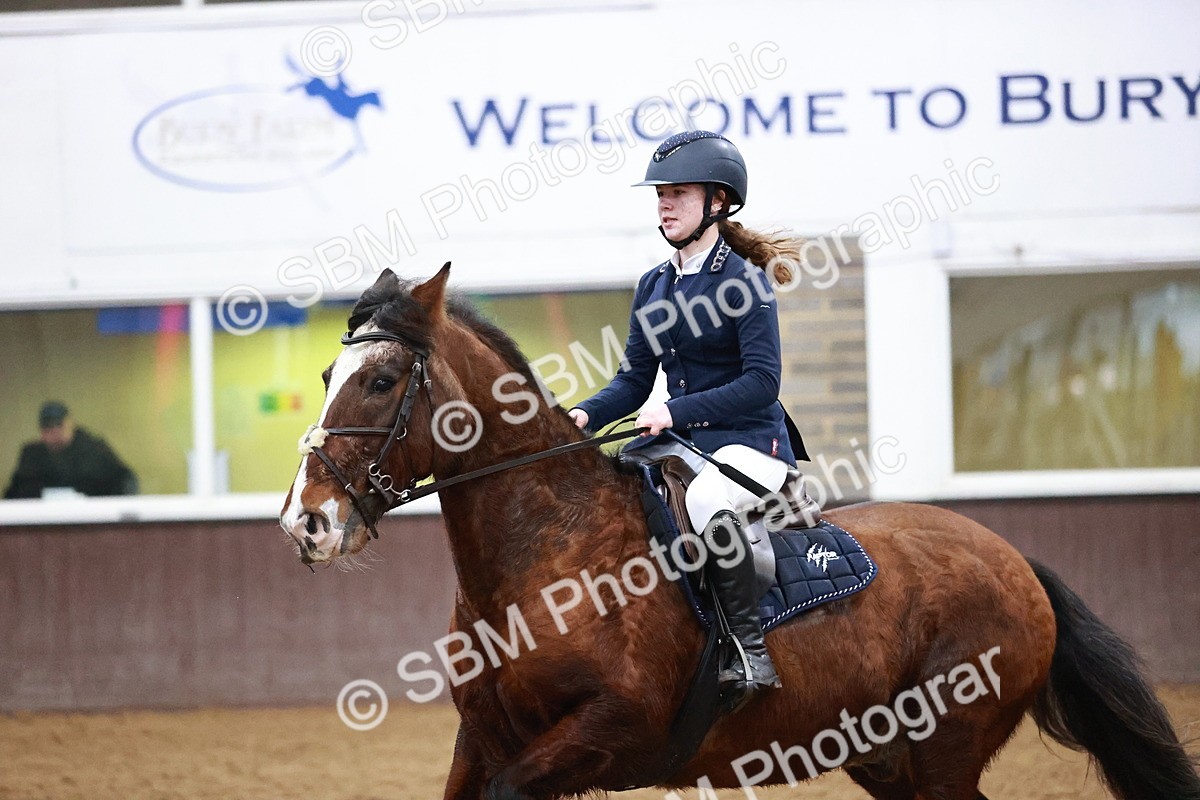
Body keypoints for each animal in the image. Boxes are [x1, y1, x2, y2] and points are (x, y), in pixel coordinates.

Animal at [279, 265, 1199, 800]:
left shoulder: (607, 731)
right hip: (886, 755)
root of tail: (1013, 559)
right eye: (326, 374)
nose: (305, 523)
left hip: (946, 747)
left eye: (382, 381)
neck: (545, 556)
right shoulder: (482, 738)